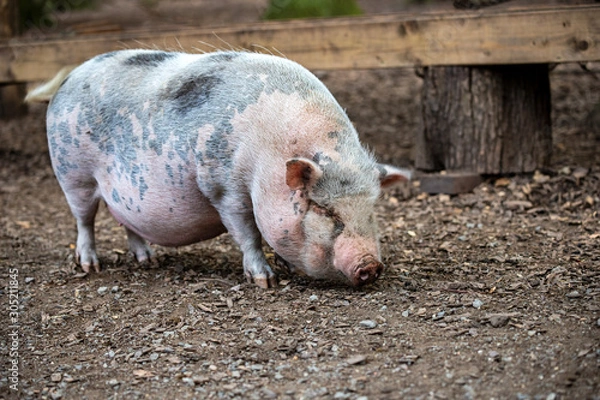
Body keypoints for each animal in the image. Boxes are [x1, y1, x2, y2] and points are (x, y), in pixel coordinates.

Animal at [29, 49, 412, 288]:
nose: (370, 264)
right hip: (72, 172)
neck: (268, 156)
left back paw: (147, 261)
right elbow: (248, 234)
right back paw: (90, 266)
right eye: (323, 208)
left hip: (120, 192)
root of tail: (70, 77)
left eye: (371, 210)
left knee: (126, 221)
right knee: (85, 220)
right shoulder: (223, 189)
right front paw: (266, 282)